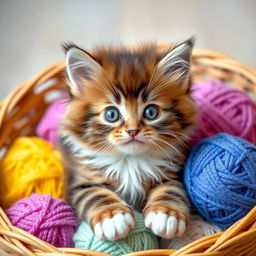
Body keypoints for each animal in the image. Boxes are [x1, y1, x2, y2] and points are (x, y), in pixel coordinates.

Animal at [58, 39, 198, 241]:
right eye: (111, 114)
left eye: (151, 112)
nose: (133, 131)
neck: (130, 161)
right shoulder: (82, 180)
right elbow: (94, 194)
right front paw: (112, 217)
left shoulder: (172, 171)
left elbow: (171, 188)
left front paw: (166, 215)